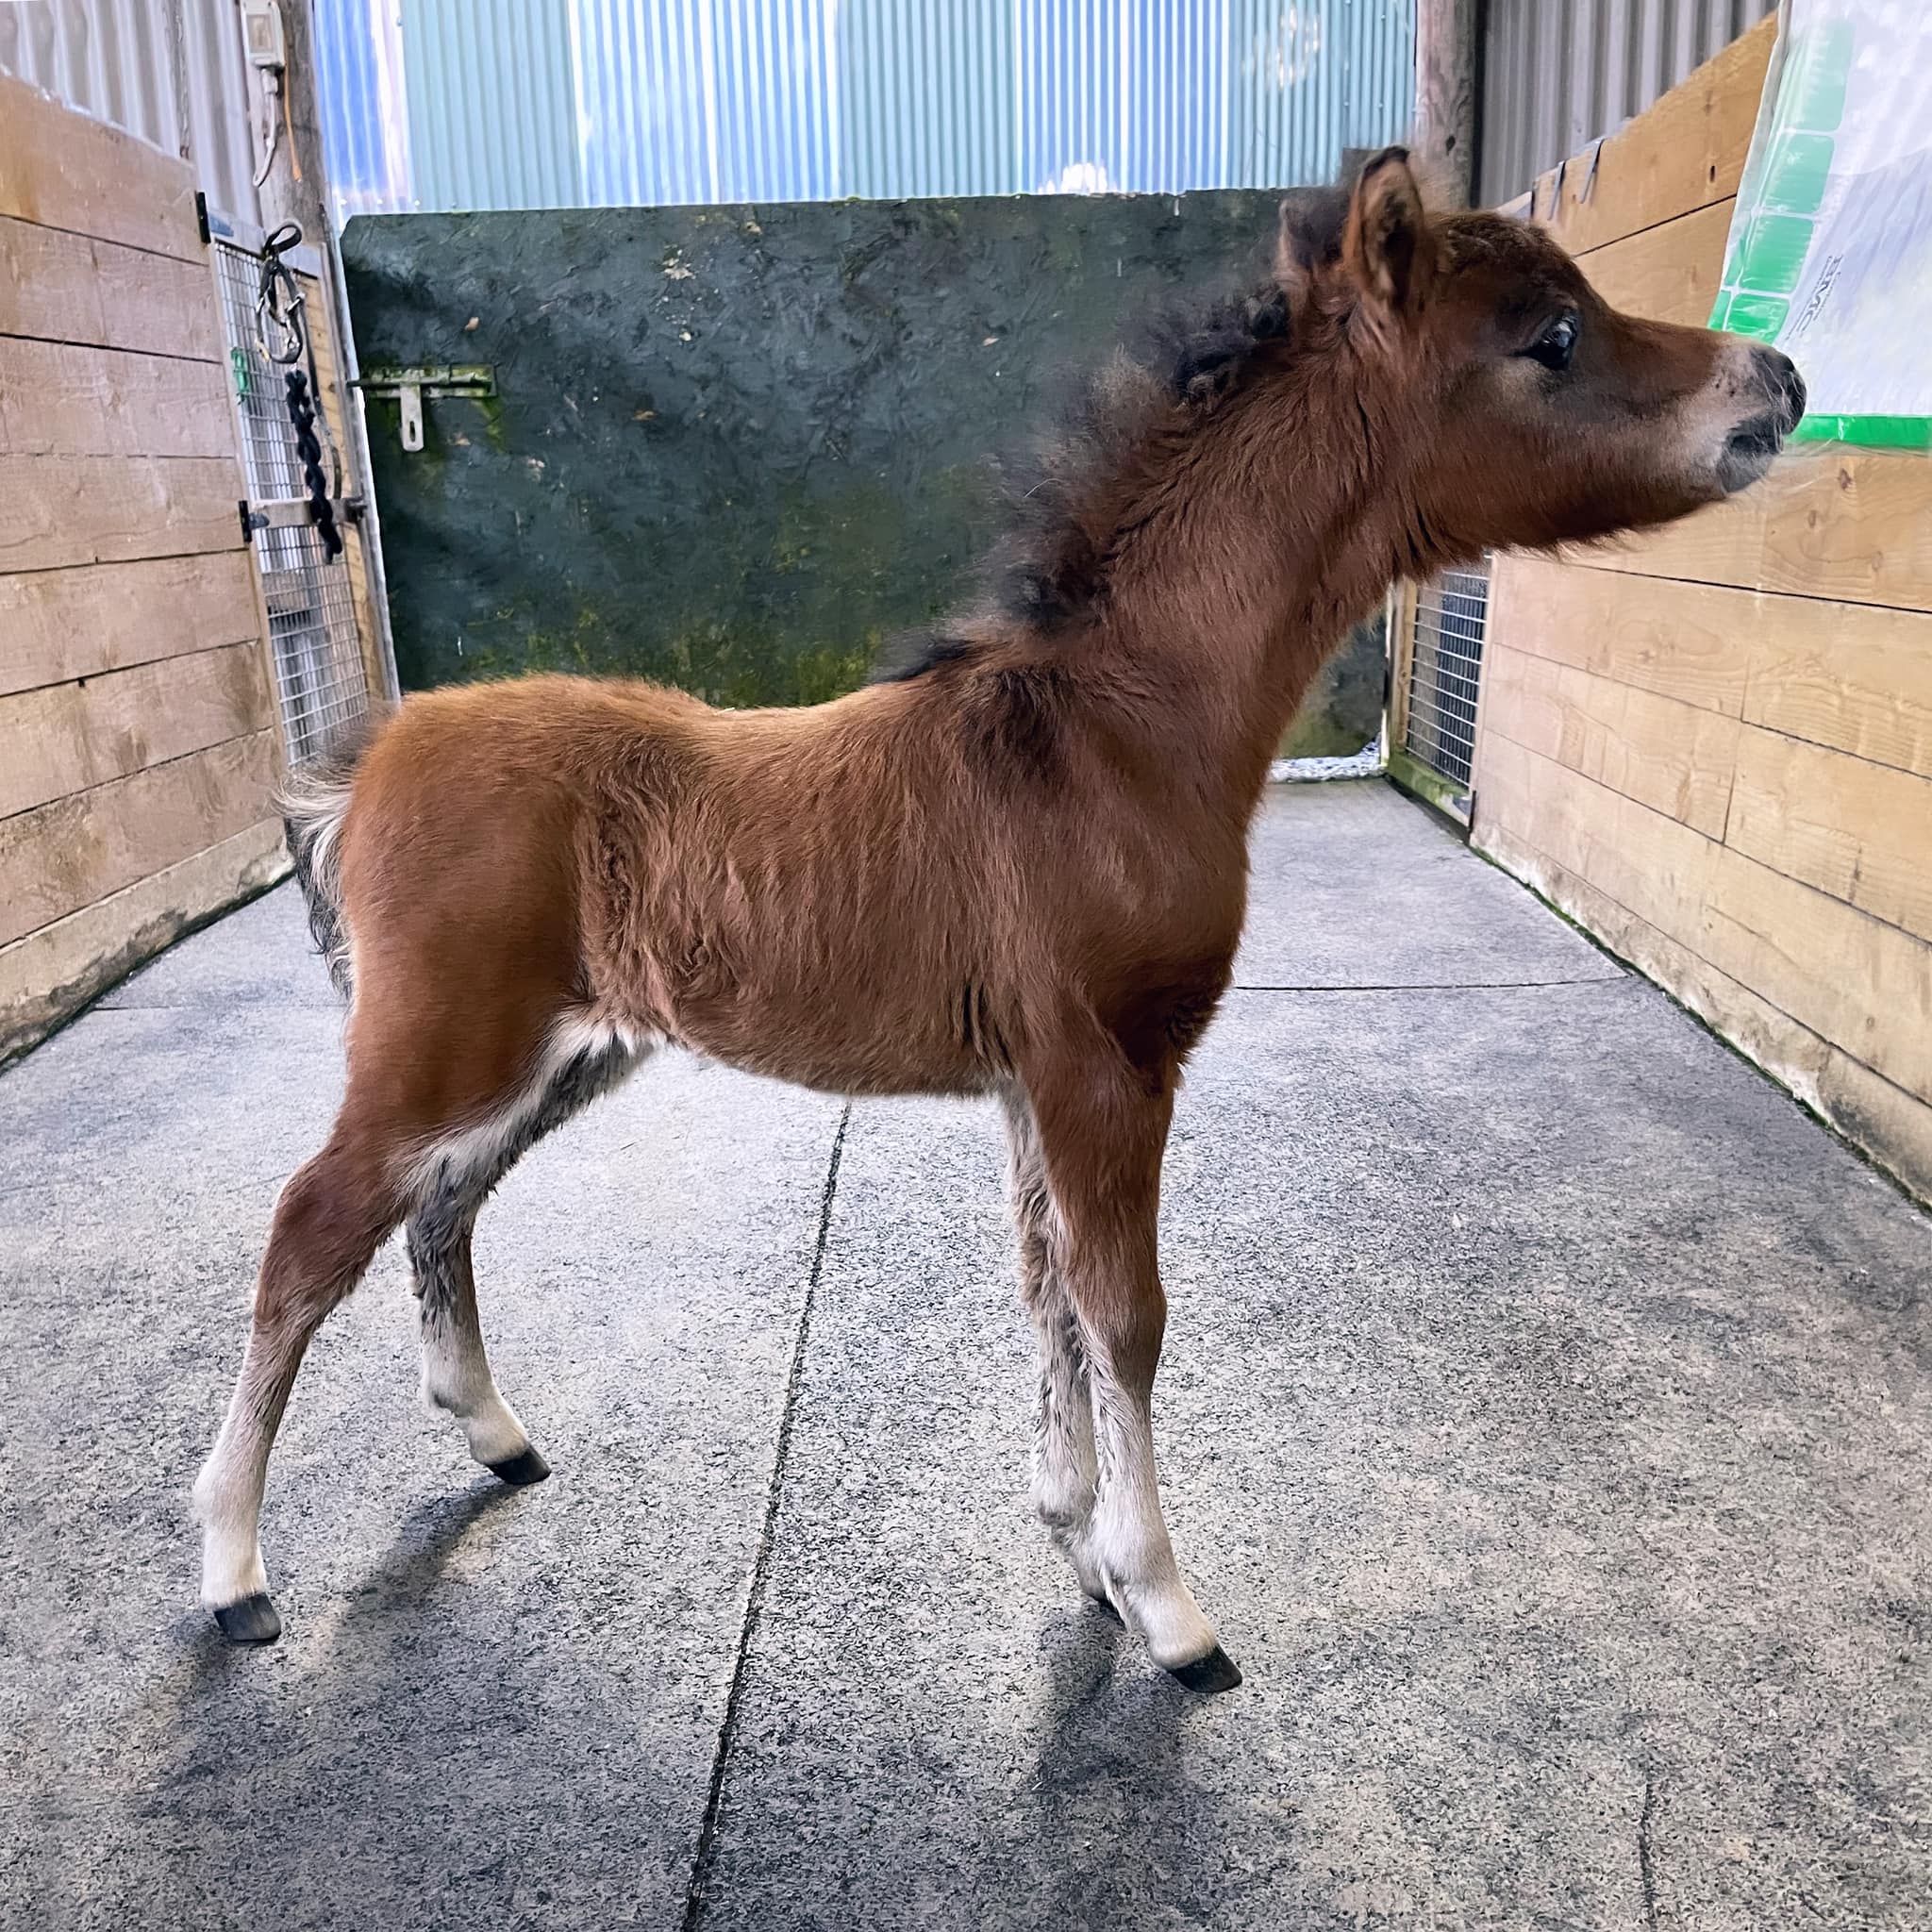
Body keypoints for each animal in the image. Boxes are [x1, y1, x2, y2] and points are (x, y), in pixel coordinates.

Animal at [195, 149, 1804, 1688]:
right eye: (1551, 336)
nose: (1776, 382)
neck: (1116, 731)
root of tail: (365, 766)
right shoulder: (1108, 1067)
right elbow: (1127, 1313)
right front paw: (1168, 1608)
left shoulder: (1039, 1082)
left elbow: (1051, 1296)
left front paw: (1080, 1542)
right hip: (444, 1047)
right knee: (310, 1229)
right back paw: (232, 1571)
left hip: (562, 1055)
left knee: (434, 1210)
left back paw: (492, 1434)